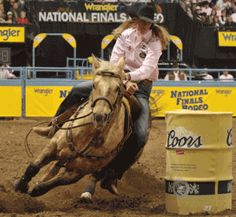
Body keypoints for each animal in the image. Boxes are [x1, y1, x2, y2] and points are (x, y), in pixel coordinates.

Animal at [15, 55, 136, 197]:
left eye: (117, 88)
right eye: (94, 85)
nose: (100, 116)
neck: (89, 135)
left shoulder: (79, 171)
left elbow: (57, 182)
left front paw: (37, 189)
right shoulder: (53, 145)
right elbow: (34, 166)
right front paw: (20, 185)